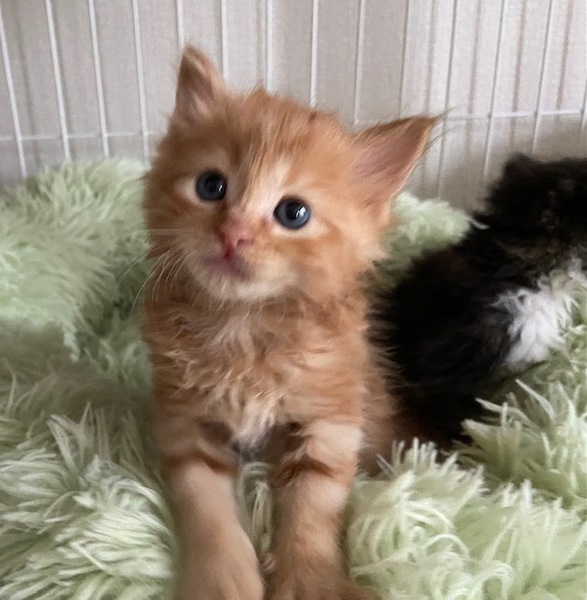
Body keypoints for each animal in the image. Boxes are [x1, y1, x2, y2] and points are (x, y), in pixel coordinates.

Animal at [142, 46, 435, 600]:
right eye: (211, 186)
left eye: (292, 213)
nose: (233, 234)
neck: (242, 328)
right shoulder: (184, 420)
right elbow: (205, 505)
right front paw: (222, 578)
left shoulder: (332, 418)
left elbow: (312, 508)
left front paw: (310, 579)